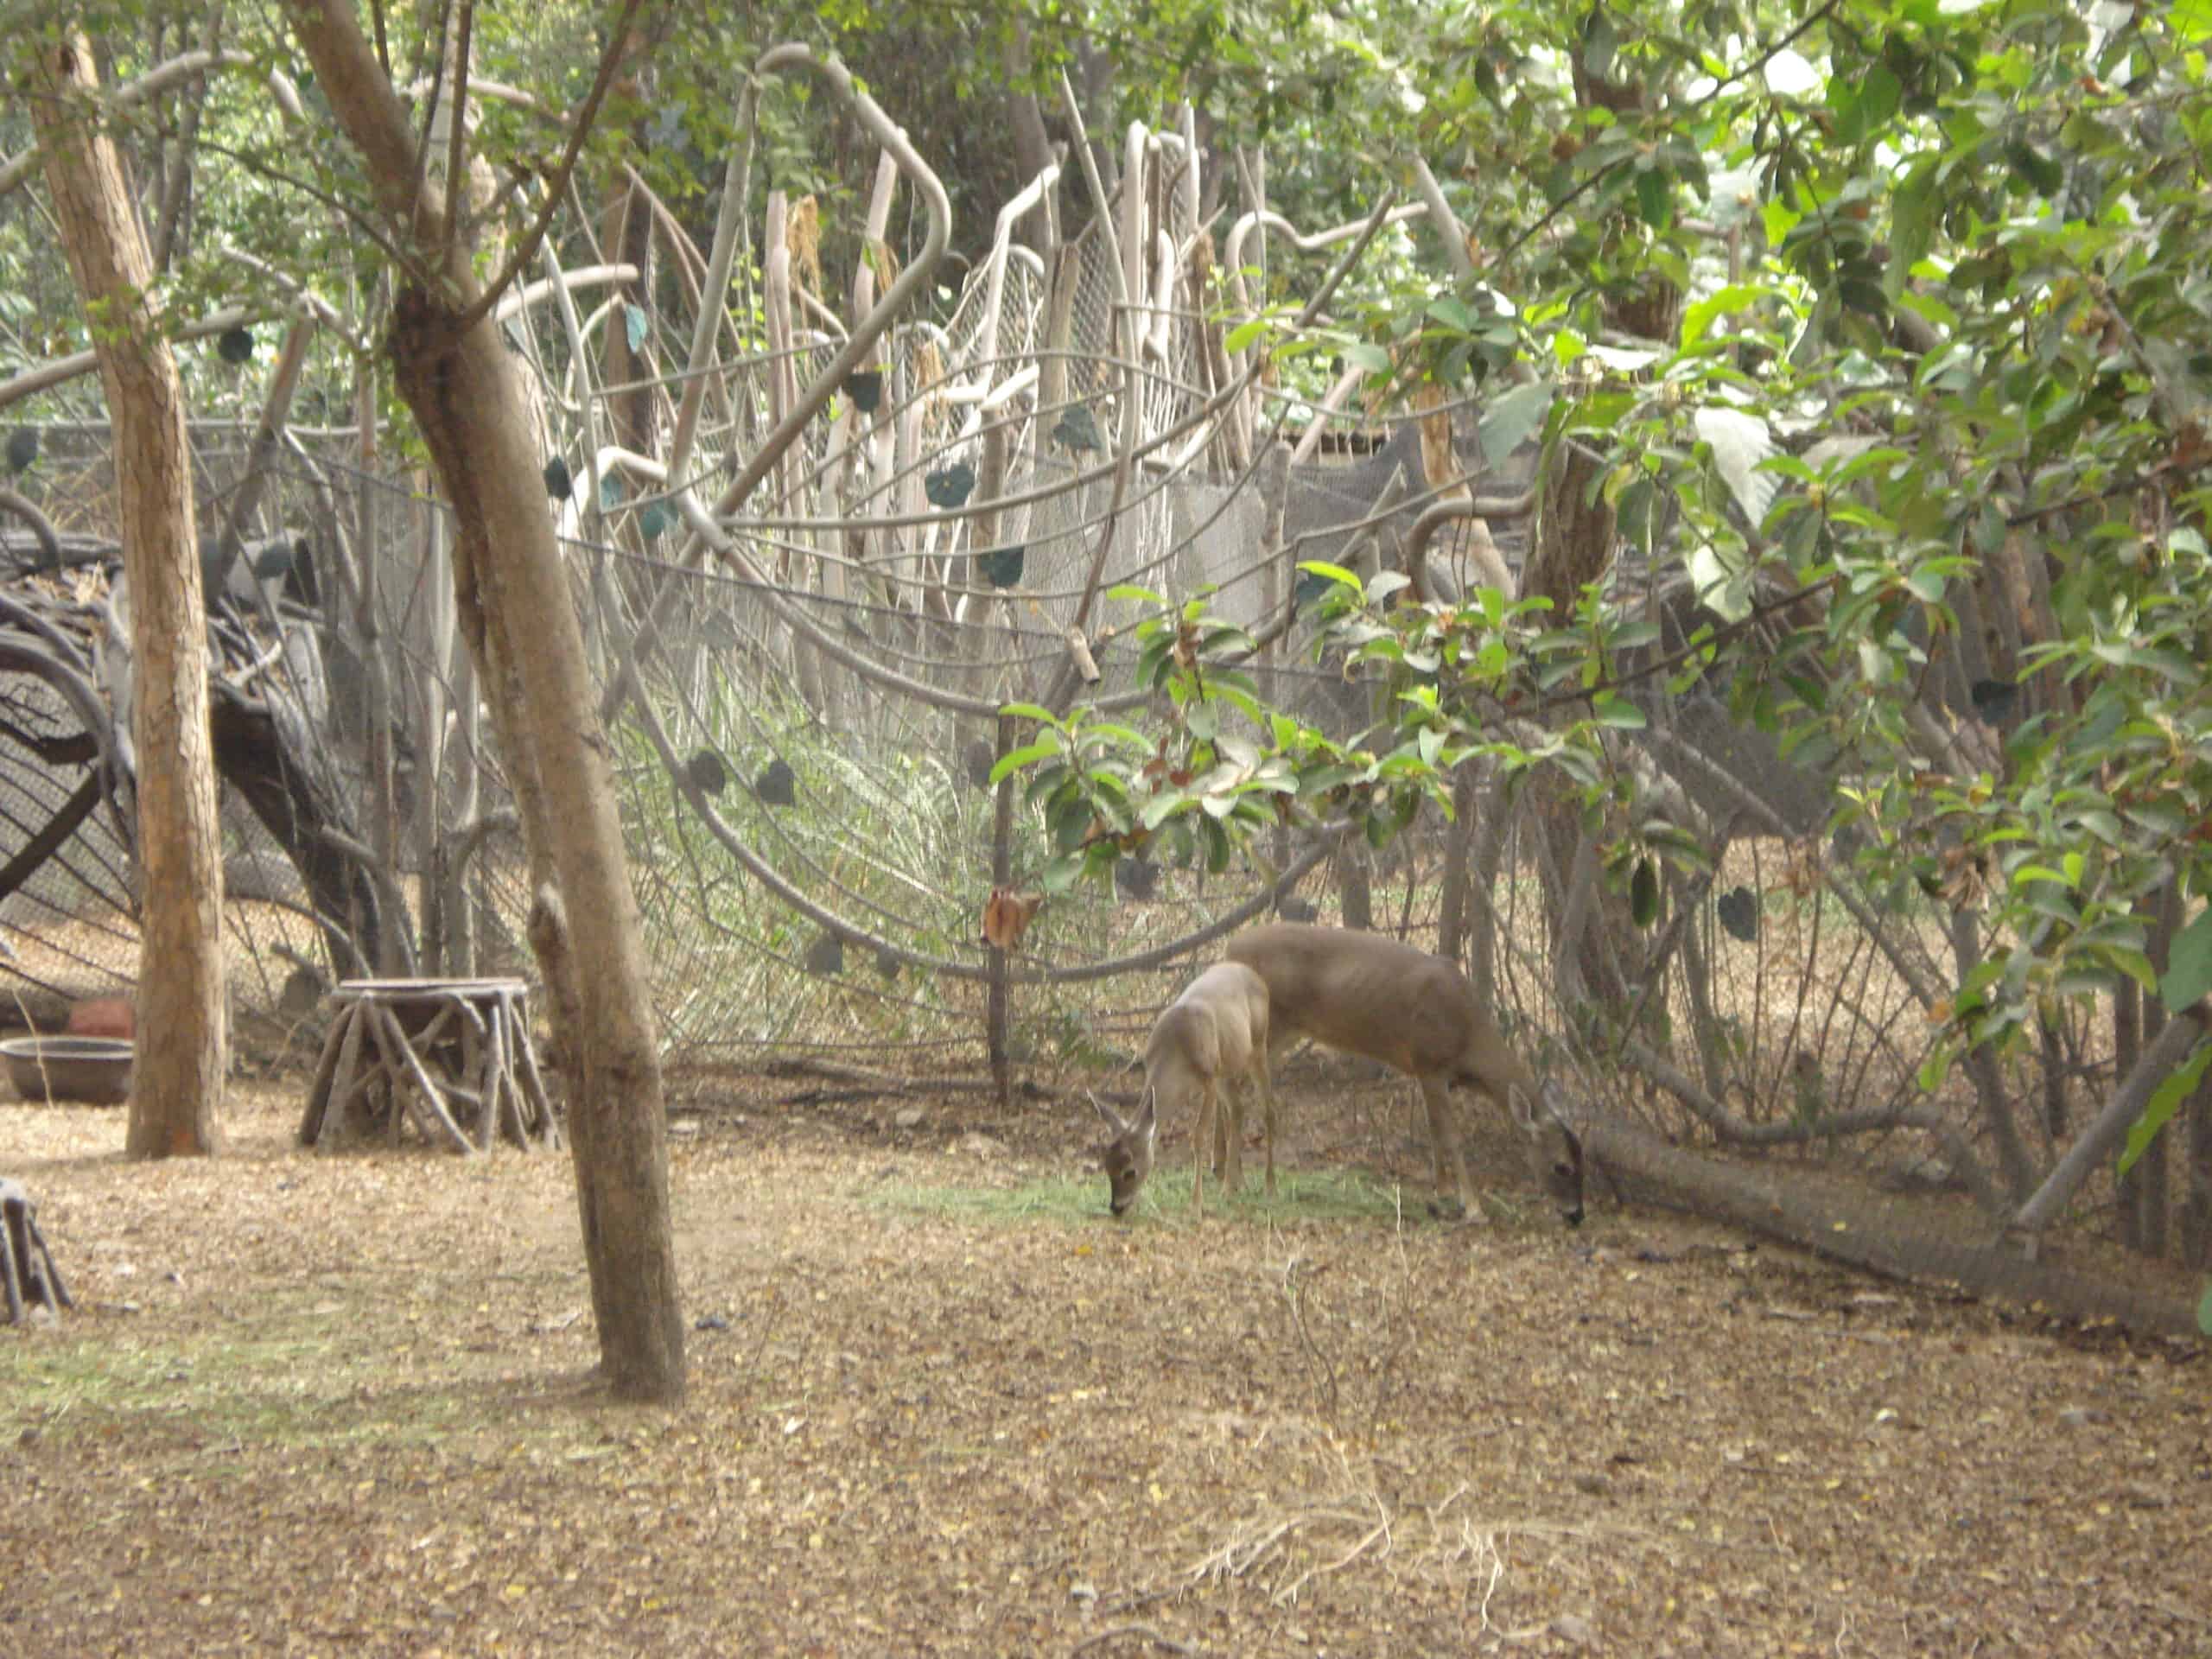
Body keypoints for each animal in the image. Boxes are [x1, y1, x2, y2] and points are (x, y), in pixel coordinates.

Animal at [1092, 960, 1282, 1221]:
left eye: (1130, 1171)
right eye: (1107, 1166)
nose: (1116, 1208)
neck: (1176, 1050)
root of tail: (1253, 973)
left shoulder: (1209, 1078)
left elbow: (1198, 1136)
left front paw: (1195, 1207)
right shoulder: (1209, 1076)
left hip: (1257, 1045)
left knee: (1269, 1109)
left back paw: (1269, 1186)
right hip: (1227, 1065)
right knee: (1238, 1109)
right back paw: (1232, 1185)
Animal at [1230, 929, 1592, 1230]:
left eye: (1582, 1158)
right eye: (1561, 1166)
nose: (1577, 1215)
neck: (1468, 1035)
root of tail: (1231, 948)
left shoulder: (1426, 1072)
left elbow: (1433, 1131)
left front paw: (1441, 1193)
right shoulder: (1430, 1063)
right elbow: (1451, 1136)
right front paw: (1473, 1207)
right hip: (1265, 1029)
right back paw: (1240, 1177)